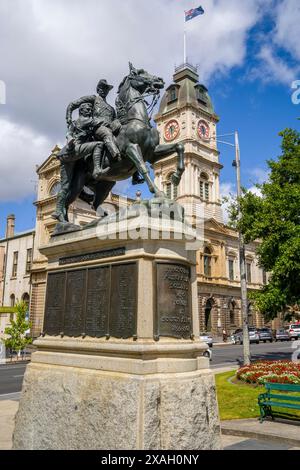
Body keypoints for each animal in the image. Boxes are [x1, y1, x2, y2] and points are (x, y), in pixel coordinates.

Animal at [62, 63, 185, 221]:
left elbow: (179, 146)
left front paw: (176, 177)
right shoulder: (131, 148)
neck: (136, 120)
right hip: (78, 184)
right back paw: (63, 221)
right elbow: (142, 167)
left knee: (94, 204)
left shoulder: (152, 153)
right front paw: (158, 193)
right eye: (138, 72)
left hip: (104, 186)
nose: (160, 80)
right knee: (66, 200)